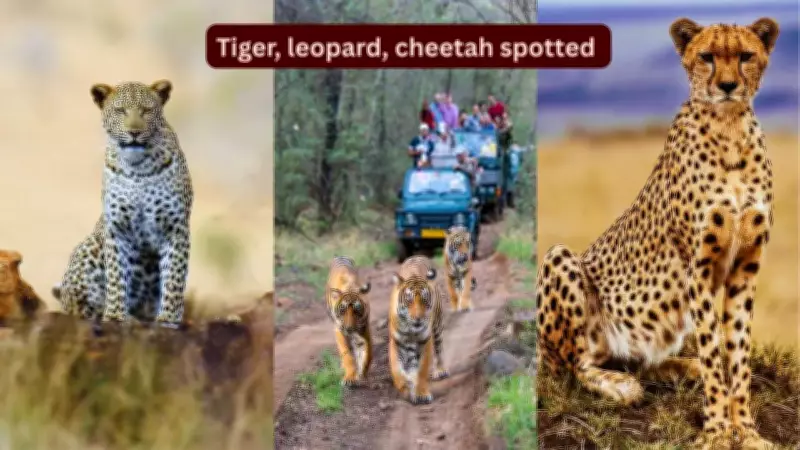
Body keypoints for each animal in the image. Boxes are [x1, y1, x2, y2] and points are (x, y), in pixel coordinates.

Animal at [54, 80, 193, 326]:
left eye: (146, 110)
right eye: (120, 111)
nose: (134, 132)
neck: (138, 168)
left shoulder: (175, 227)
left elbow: (174, 277)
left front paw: (168, 318)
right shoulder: (117, 228)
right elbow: (117, 273)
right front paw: (115, 315)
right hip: (89, 246)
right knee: (77, 306)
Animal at [325, 256, 373, 386]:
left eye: (356, 310)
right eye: (343, 310)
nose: (349, 328)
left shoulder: (364, 328)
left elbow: (368, 352)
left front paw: (362, 372)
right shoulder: (339, 330)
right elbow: (347, 355)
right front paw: (350, 377)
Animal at [389, 255, 449, 404]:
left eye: (424, 300)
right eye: (409, 300)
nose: (418, 318)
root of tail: (417, 256)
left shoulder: (424, 341)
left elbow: (421, 370)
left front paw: (421, 393)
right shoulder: (396, 341)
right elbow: (396, 369)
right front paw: (404, 386)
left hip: (437, 326)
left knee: (439, 349)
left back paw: (440, 370)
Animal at [535, 18, 780, 450]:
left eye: (746, 55)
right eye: (707, 56)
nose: (728, 86)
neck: (730, 128)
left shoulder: (745, 270)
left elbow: (737, 355)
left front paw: (747, 431)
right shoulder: (699, 269)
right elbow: (716, 355)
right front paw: (718, 431)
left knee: (641, 362)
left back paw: (682, 367)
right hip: (560, 260)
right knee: (576, 367)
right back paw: (620, 386)